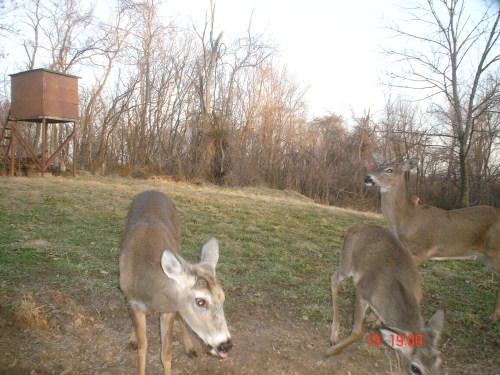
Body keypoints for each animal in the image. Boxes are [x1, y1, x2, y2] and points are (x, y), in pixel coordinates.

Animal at [120, 191, 231, 375]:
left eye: (222, 298)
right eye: (200, 301)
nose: (226, 344)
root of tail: (152, 190)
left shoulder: (169, 309)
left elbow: (166, 354)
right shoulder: (134, 302)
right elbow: (143, 347)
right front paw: (136, 341)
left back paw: (190, 347)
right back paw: (132, 339)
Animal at [328, 225, 446, 374]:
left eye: (439, 362)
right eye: (415, 368)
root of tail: (355, 226)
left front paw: (373, 322)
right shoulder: (362, 291)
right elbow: (357, 332)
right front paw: (331, 351)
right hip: (346, 262)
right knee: (334, 278)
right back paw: (333, 336)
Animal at [364, 153, 500, 324]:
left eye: (390, 170)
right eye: (378, 165)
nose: (367, 177)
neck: (407, 219)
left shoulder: (423, 251)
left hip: (495, 251)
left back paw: (492, 319)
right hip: (484, 257)